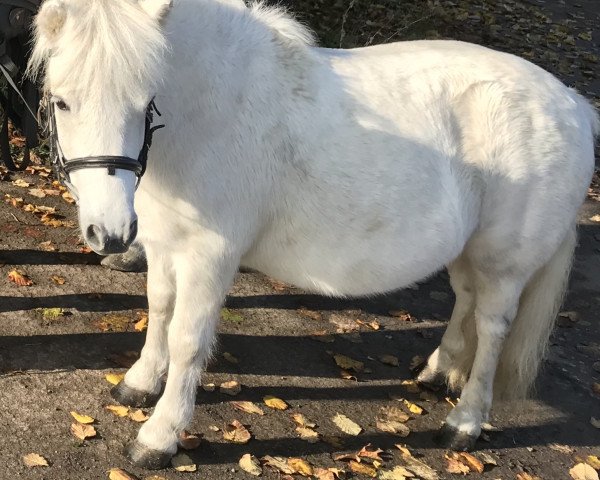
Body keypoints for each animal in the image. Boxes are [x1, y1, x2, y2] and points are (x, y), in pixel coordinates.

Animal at [30, 0, 596, 468]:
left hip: (505, 262)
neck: (211, 114)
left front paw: (159, 436)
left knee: (494, 327)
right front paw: (140, 383)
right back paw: (438, 372)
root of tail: (572, 104)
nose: (110, 232)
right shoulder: (167, 246)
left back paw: (465, 423)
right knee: (466, 301)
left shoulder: (209, 256)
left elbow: (188, 340)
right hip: (467, 249)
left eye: (145, 100)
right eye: (62, 102)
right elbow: (160, 314)